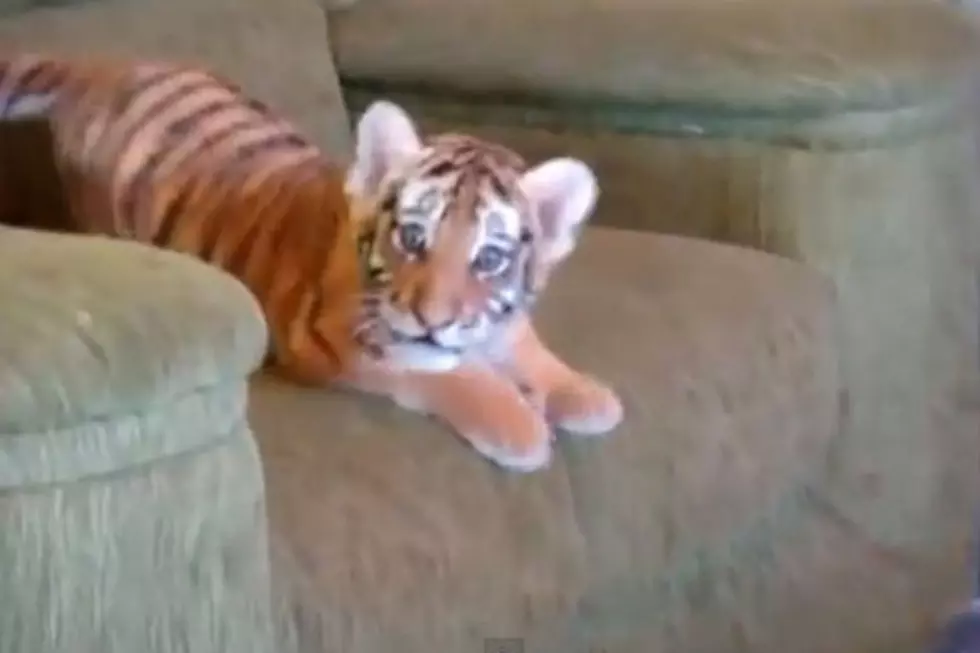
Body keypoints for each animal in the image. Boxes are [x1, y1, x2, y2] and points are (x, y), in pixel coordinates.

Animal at [0, 53, 623, 472]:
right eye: (413, 238)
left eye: (490, 258)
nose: (434, 320)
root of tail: (102, 67)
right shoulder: (338, 342)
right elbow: (451, 376)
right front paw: (522, 427)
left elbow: (524, 342)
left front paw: (585, 394)